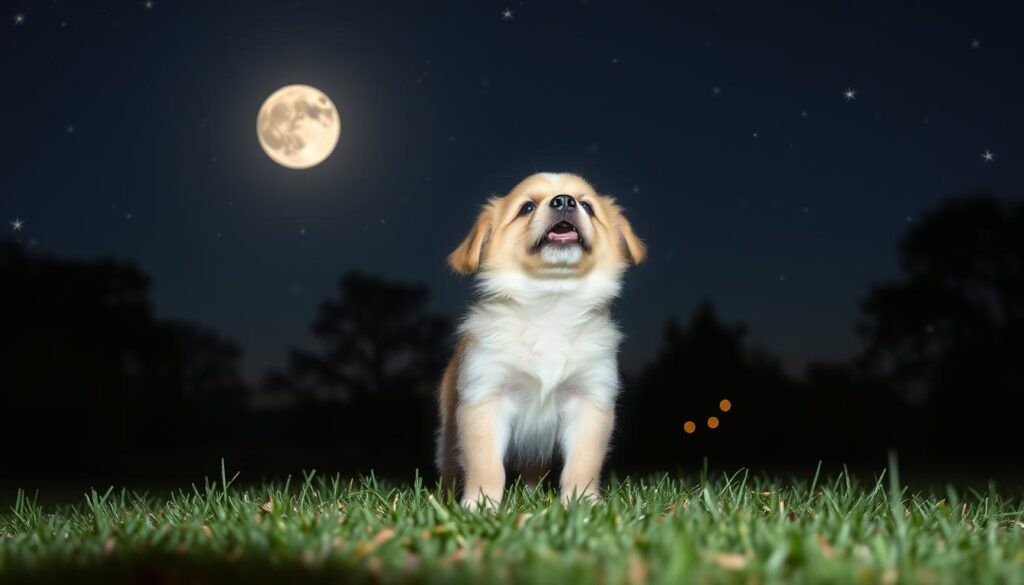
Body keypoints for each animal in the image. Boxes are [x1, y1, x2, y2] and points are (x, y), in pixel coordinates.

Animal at [434, 172, 643, 506]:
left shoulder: (589, 401)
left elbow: (583, 464)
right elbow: (486, 465)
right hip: (448, 434)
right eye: (527, 207)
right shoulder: (485, 397)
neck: (552, 302)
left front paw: (583, 504)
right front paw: (480, 505)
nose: (565, 201)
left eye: (587, 205)